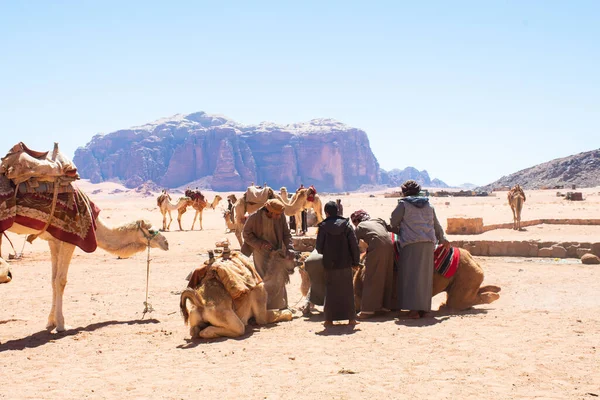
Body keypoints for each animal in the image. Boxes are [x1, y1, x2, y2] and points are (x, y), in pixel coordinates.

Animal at [7, 216, 169, 332]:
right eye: (150, 231)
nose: (166, 243)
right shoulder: (69, 239)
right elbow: (61, 280)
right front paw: (61, 325)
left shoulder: (54, 240)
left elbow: (53, 280)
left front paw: (51, 322)